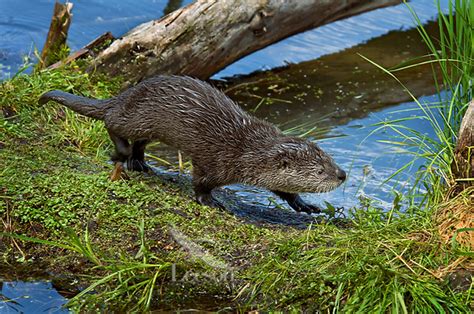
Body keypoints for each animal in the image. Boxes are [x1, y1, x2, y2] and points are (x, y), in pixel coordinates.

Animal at [39, 75, 346, 213]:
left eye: (330, 160)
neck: (246, 150)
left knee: (138, 142)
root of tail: (123, 95)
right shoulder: (215, 161)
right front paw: (211, 201)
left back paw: (140, 163)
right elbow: (200, 182)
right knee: (112, 122)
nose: (342, 175)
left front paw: (305, 205)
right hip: (136, 117)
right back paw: (123, 154)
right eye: (320, 172)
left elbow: (284, 191)